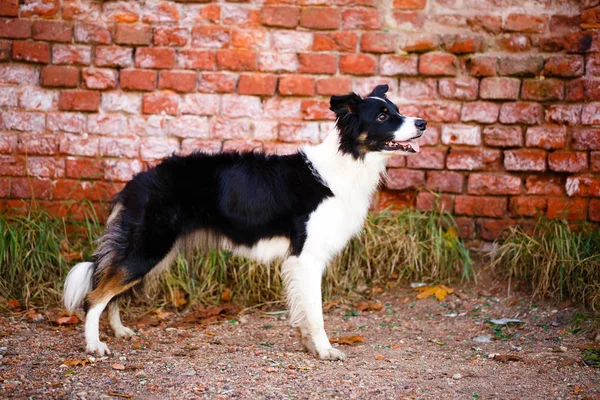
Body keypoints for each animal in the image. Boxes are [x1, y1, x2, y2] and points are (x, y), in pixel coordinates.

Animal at [63, 83, 424, 360]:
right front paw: (324, 350)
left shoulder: (298, 261)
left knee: (111, 292)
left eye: (397, 109)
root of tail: (135, 182)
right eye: (382, 116)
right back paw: (95, 346)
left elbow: (302, 311)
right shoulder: (306, 257)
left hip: (152, 252)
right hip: (148, 248)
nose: (422, 122)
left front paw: (307, 345)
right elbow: (316, 313)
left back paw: (119, 331)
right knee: (95, 296)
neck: (348, 161)